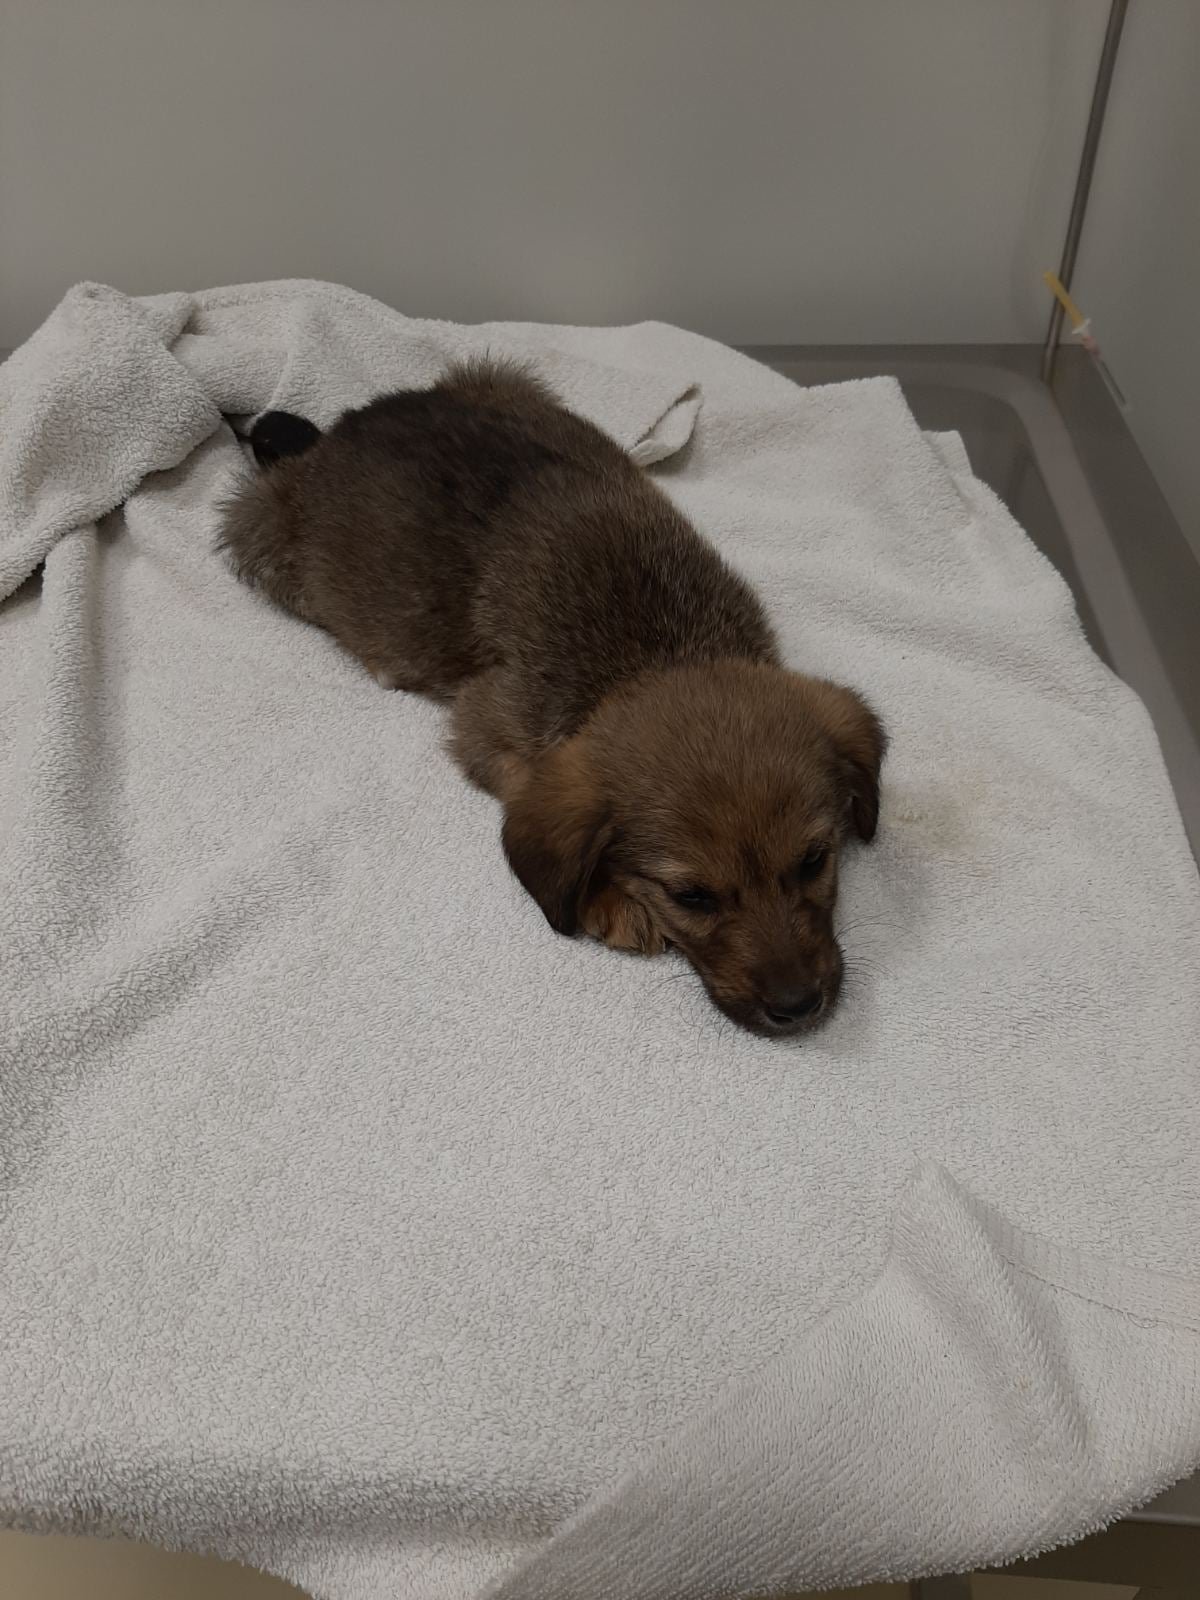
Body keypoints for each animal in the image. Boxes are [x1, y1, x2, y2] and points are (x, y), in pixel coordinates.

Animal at [219, 359, 885, 1038]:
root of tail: (345, 423)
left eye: (814, 860)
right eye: (691, 897)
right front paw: (604, 899)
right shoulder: (484, 726)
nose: (799, 1008)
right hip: (261, 537)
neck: (661, 656)